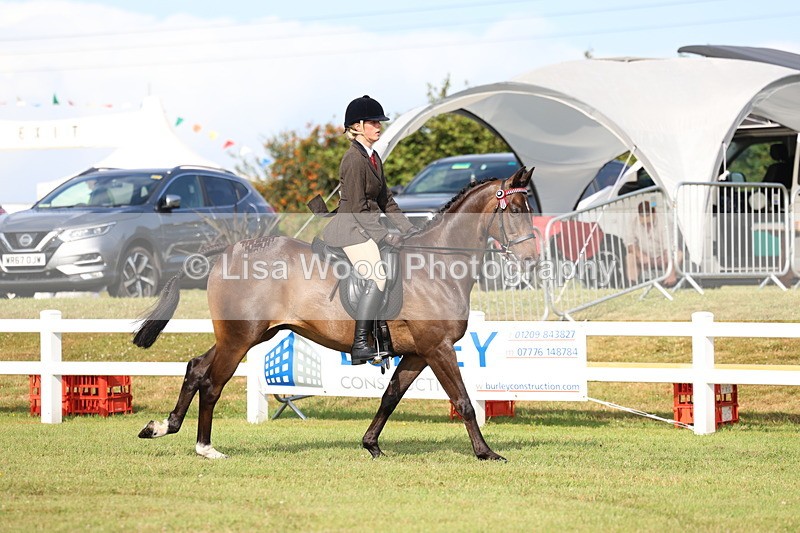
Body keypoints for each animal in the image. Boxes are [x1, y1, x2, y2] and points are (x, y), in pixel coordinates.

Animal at [133, 167, 539, 460]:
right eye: (517, 210)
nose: (532, 260)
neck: (436, 265)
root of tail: (226, 253)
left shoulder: (417, 352)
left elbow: (390, 397)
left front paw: (371, 445)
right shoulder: (437, 347)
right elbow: (464, 402)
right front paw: (486, 453)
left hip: (249, 334)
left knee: (196, 368)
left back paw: (163, 427)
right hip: (240, 338)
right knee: (212, 383)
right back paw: (205, 448)